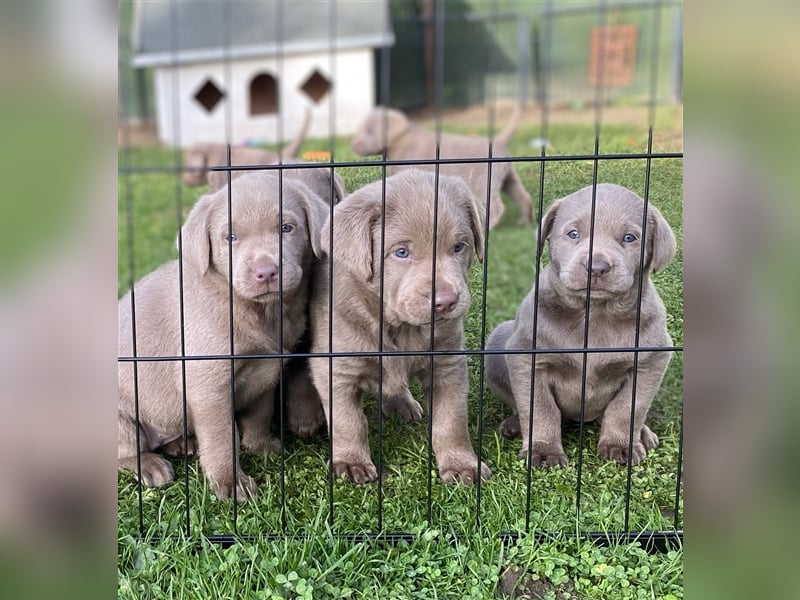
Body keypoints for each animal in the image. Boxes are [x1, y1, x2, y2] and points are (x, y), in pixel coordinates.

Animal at [116, 173, 328, 502]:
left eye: (287, 228)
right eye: (230, 237)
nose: (266, 272)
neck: (258, 312)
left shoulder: (265, 373)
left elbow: (260, 414)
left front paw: (260, 446)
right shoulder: (208, 385)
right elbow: (221, 439)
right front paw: (232, 484)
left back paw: (182, 443)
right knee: (126, 451)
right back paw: (150, 465)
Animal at [308, 168, 490, 482]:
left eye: (459, 247)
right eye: (401, 252)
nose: (446, 302)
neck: (399, 328)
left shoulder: (448, 364)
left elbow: (452, 420)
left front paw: (461, 464)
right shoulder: (335, 367)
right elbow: (348, 420)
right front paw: (350, 462)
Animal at [484, 184, 680, 468]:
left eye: (630, 237)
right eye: (573, 233)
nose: (597, 267)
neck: (594, 313)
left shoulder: (651, 360)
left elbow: (629, 407)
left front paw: (620, 445)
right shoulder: (527, 357)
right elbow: (540, 407)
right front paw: (544, 450)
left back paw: (644, 434)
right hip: (498, 339)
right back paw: (513, 425)